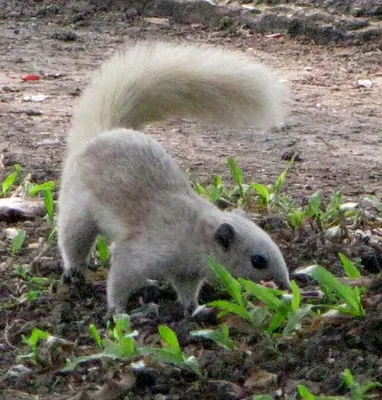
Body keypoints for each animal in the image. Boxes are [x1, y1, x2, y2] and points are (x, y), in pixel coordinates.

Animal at [58, 41, 290, 316]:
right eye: (258, 261)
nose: (286, 286)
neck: (195, 233)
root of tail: (100, 135)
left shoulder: (187, 272)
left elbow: (187, 291)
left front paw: (196, 309)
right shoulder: (145, 252)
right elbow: (121, 279)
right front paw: (120, 312)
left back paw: (149, 285)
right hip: (78, 210)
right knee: (73, 241)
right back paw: (75, 271)